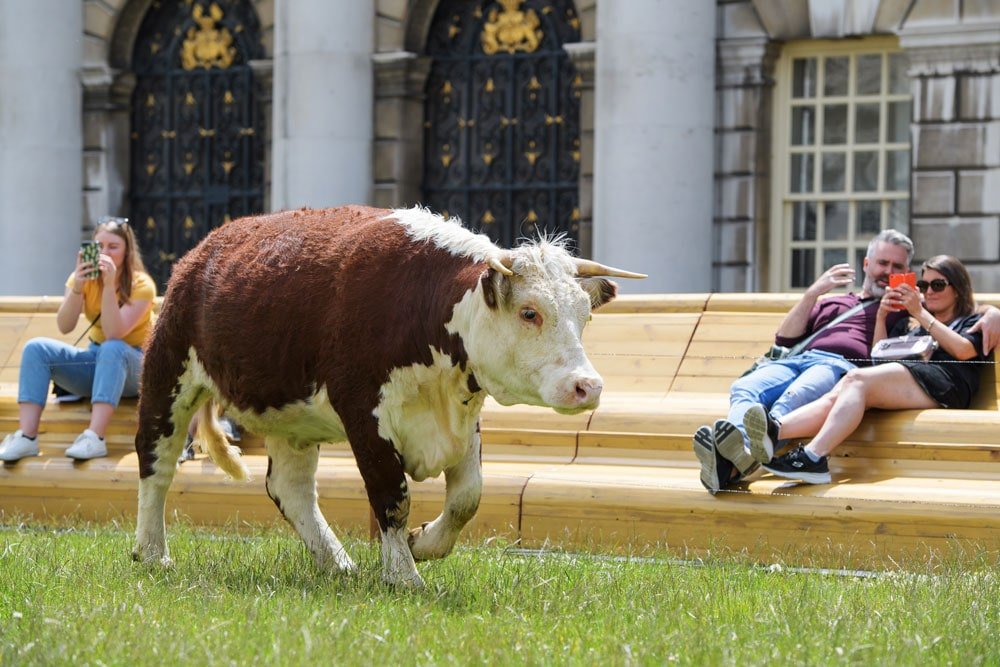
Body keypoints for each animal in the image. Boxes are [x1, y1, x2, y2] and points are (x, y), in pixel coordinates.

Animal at [133, 206, 644, 588]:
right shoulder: (365, 413)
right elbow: (391, 496)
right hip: (168, 373)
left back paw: (338, 564)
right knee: (156, 463)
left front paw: (423, 544)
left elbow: (468, 496)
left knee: (291, 490)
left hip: (290, 417)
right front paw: (403, 574)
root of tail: (207, 248)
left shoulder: (465, 414)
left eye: (585, 316)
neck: (423, 309)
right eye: (529, 312)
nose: (587, 385)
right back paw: (152, 553)